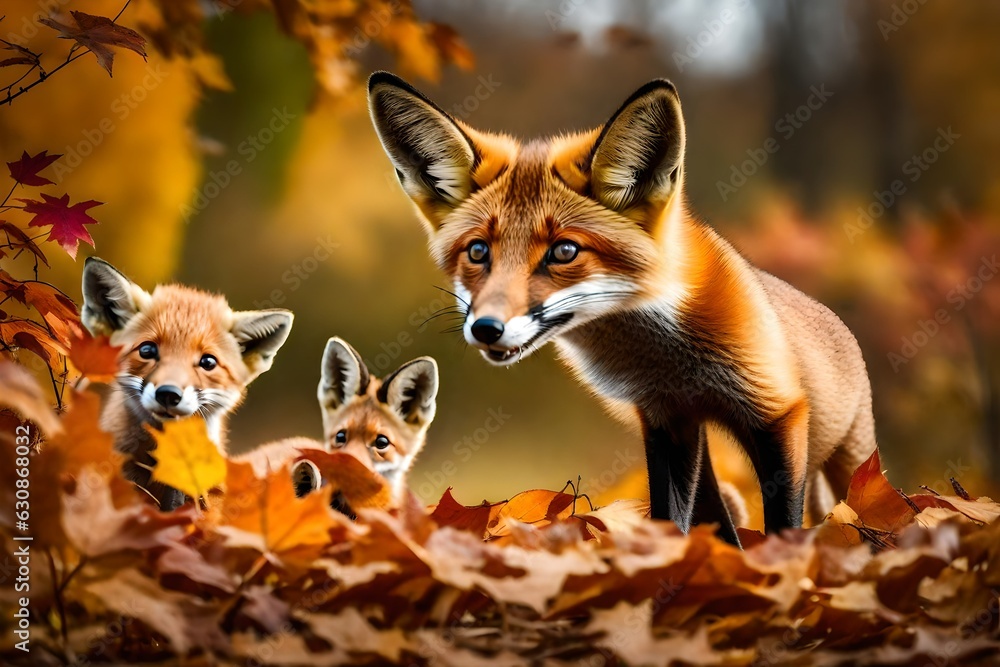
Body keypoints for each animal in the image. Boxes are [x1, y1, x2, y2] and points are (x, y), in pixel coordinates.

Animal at [367, 72, 877, 545]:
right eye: (477, 251)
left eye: (564, 251)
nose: (486, 328)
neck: (667, 360)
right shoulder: (665, 419)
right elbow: (671, 517)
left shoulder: (776, 412)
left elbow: (783, 525)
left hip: (851, 456)